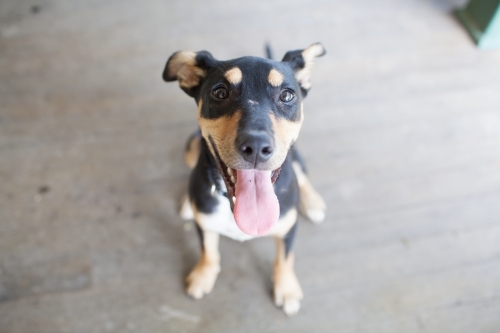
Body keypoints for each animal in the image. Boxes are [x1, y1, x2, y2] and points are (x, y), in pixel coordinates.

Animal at [163, 43, 328, 314]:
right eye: (220, 92)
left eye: (287, 95)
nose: (256, 146)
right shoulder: (204, 224)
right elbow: (208, 250)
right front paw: (203, 276)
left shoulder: (289, 227)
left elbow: (285, 258)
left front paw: (287, 289)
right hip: (191, 146)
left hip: (295, 157)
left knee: (303, 175)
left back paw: (312, 202)